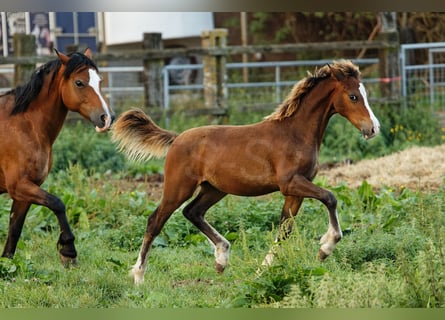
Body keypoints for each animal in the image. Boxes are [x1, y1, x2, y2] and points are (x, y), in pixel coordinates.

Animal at [0, 48, 113, 264]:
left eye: (100, 80)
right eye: (79, 82)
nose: (106, 118)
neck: (24, 125)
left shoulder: (26, 191)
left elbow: (14, 232)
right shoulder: (19, 186)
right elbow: (58, 203)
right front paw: (68, 250)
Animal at [111, 58, 378, 284]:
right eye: (353, 96)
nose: (373, 128)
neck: (294, 133)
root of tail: (177, 139)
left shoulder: (294, 191)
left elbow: (284, 230)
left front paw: (263, 270)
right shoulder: (290, 183)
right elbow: (330, 198)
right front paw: (325, 248)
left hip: (214, 189)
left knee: (192, 212)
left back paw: (221, 258)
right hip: (178, 188)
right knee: (155, 220)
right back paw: (139, 276)